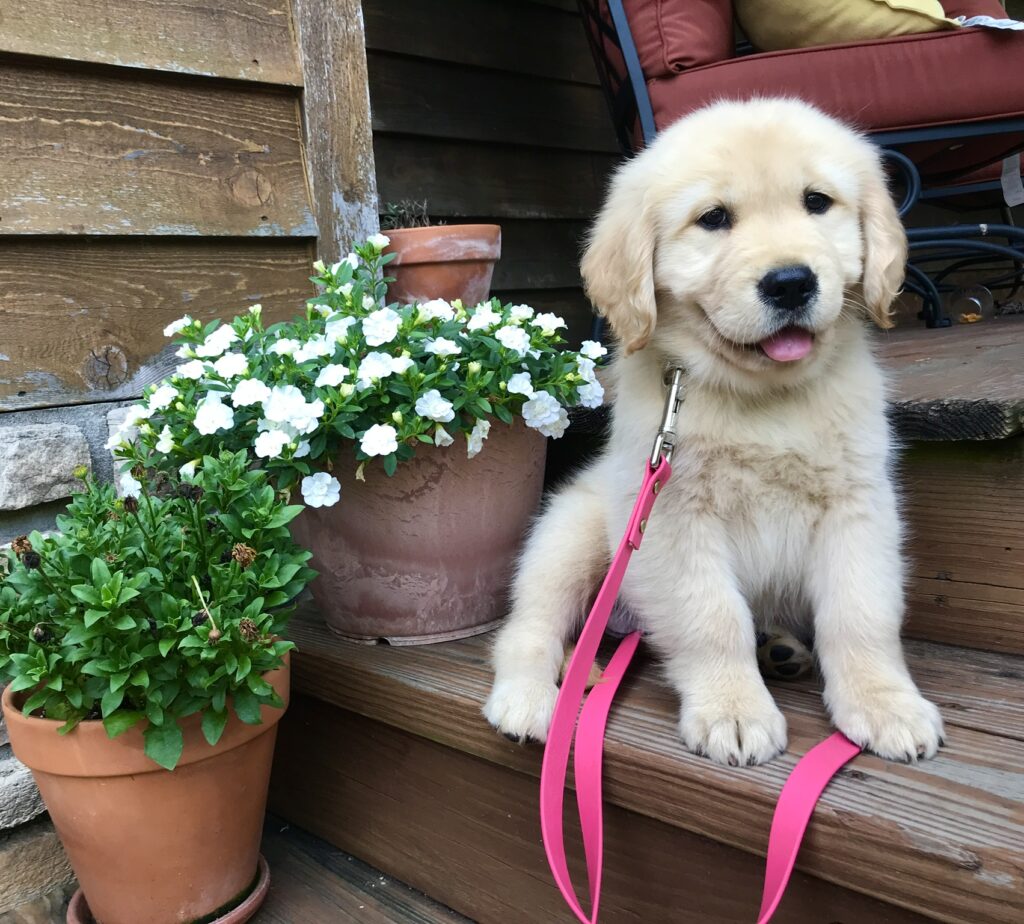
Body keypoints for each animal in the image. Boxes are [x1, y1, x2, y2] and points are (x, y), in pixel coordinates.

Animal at [485, 97, 942, 770]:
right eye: (714, 219)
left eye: (817, 202)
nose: (790, 282)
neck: (764, 398)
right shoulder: (674, 517)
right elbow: (713, 619)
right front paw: (734, 711)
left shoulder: (858, 507)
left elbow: (860, 614)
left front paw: (886, 705)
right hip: (570, 534)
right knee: (529, 627)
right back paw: (528, 697)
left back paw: (780, 647)